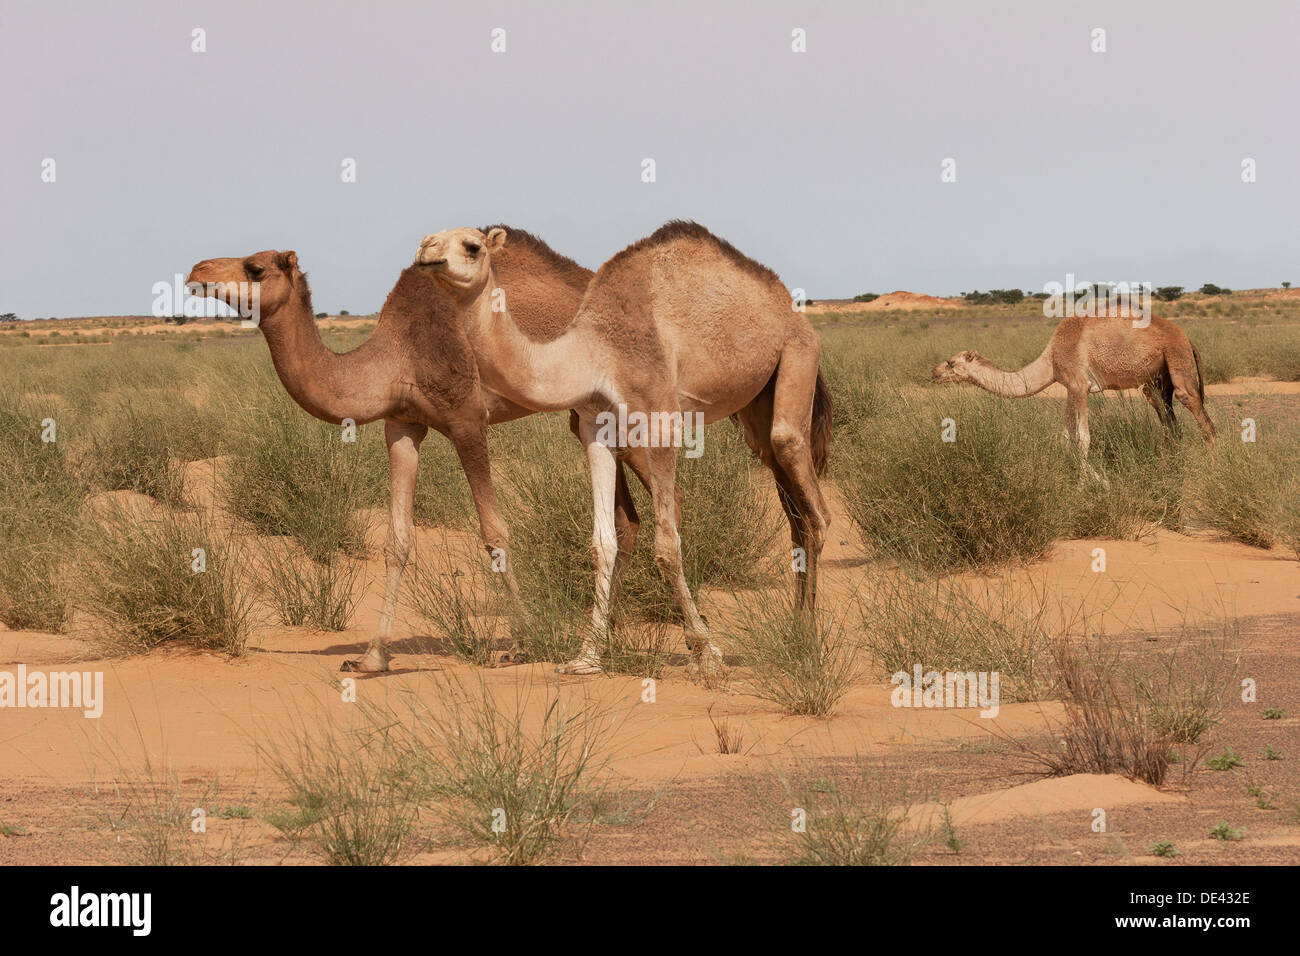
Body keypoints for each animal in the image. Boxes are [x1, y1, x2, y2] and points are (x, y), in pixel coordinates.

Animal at [188, 231, 676, 671]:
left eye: (255, 268)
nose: (196, 271)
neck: (396, 354)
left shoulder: (467, 420)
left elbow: (494, 533)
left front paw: (523, 643)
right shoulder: (402, 424)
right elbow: (397, 540)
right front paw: (372, 656)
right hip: (584, 417)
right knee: (627, 519)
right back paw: (607, 634)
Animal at [413, 221, 832, 676]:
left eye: (472, 246)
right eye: (428, 238)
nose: (426, 252)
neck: (595, 352)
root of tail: (790, 308)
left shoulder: (660, 420)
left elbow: (667, 545)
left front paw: (705, 651)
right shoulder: (595, 428)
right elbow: (603, 542)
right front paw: (586, 656)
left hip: (799, 351)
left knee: (806, 486)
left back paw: (808, 641)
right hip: (756, 403)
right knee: (791, 503)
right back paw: (794, 628)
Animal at [930, 314, 1211, 468]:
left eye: (951, 362)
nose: (934, 373)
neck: (1051, 360)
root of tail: (1187, 339)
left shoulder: (1080, 385)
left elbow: (1084, 439)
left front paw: (1087, 487)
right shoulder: (1068, 387)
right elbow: (1065, 437)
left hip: (1177, 358)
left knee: (1202, 419)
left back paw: (1210, 470)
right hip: (1157, 380)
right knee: (1169, 421)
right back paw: (1169, 467)